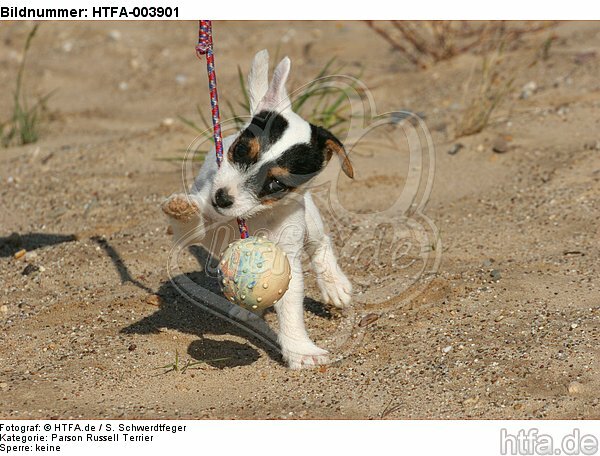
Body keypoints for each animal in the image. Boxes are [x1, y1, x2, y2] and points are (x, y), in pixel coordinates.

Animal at [162, 50, 354, 370]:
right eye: (240, 150)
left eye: (276, 183)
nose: (221, 198)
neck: (254, 217)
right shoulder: (202, 220)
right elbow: (191, 222)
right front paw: (183, 209)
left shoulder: (286, 258)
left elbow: (291, 306)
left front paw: (300, 350)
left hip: (310, 218)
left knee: (320, 243)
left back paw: (334, 284)